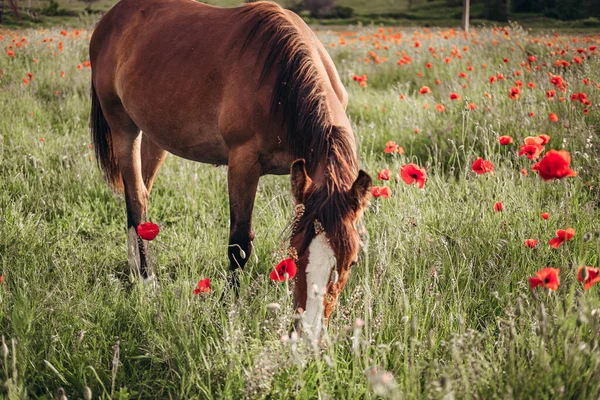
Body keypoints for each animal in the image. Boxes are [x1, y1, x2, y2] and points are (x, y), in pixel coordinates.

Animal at [89, 0, 370, 332]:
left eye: (351, 261)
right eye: (295, 254)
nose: (308, 334)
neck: (280, 83)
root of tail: (112, 19)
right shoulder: (243, 163)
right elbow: (239, 243)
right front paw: (228, 308)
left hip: (154, 137)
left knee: (140, 198)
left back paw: (134, 267)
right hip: (123, 127)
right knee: (135, 197)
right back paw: (146, 280)